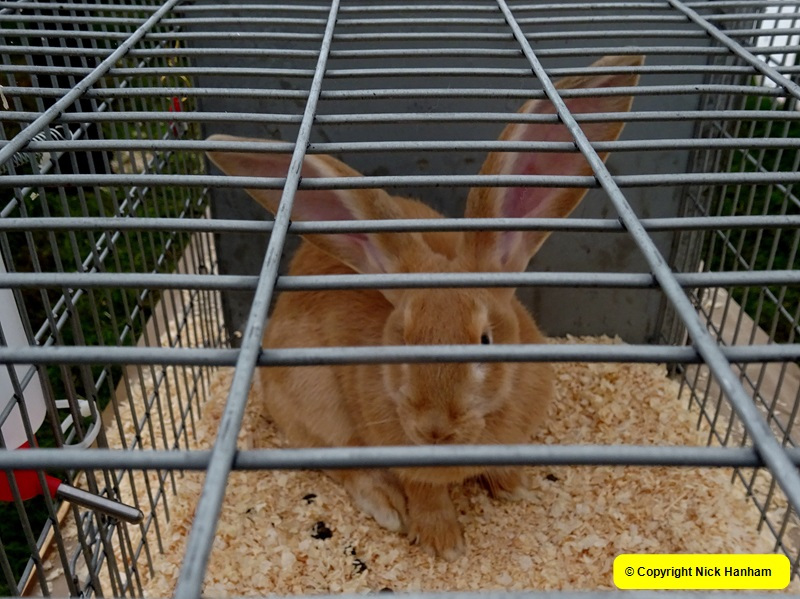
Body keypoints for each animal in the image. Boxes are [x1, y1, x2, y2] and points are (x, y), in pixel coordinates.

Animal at [206, 54, 644, 560]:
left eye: (486, 340)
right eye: (402, 338)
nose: (434, 428)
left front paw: (514, 487)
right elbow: (425, 492)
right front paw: (444, 543)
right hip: (314, 408)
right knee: (340, 464)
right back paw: (387, 506)